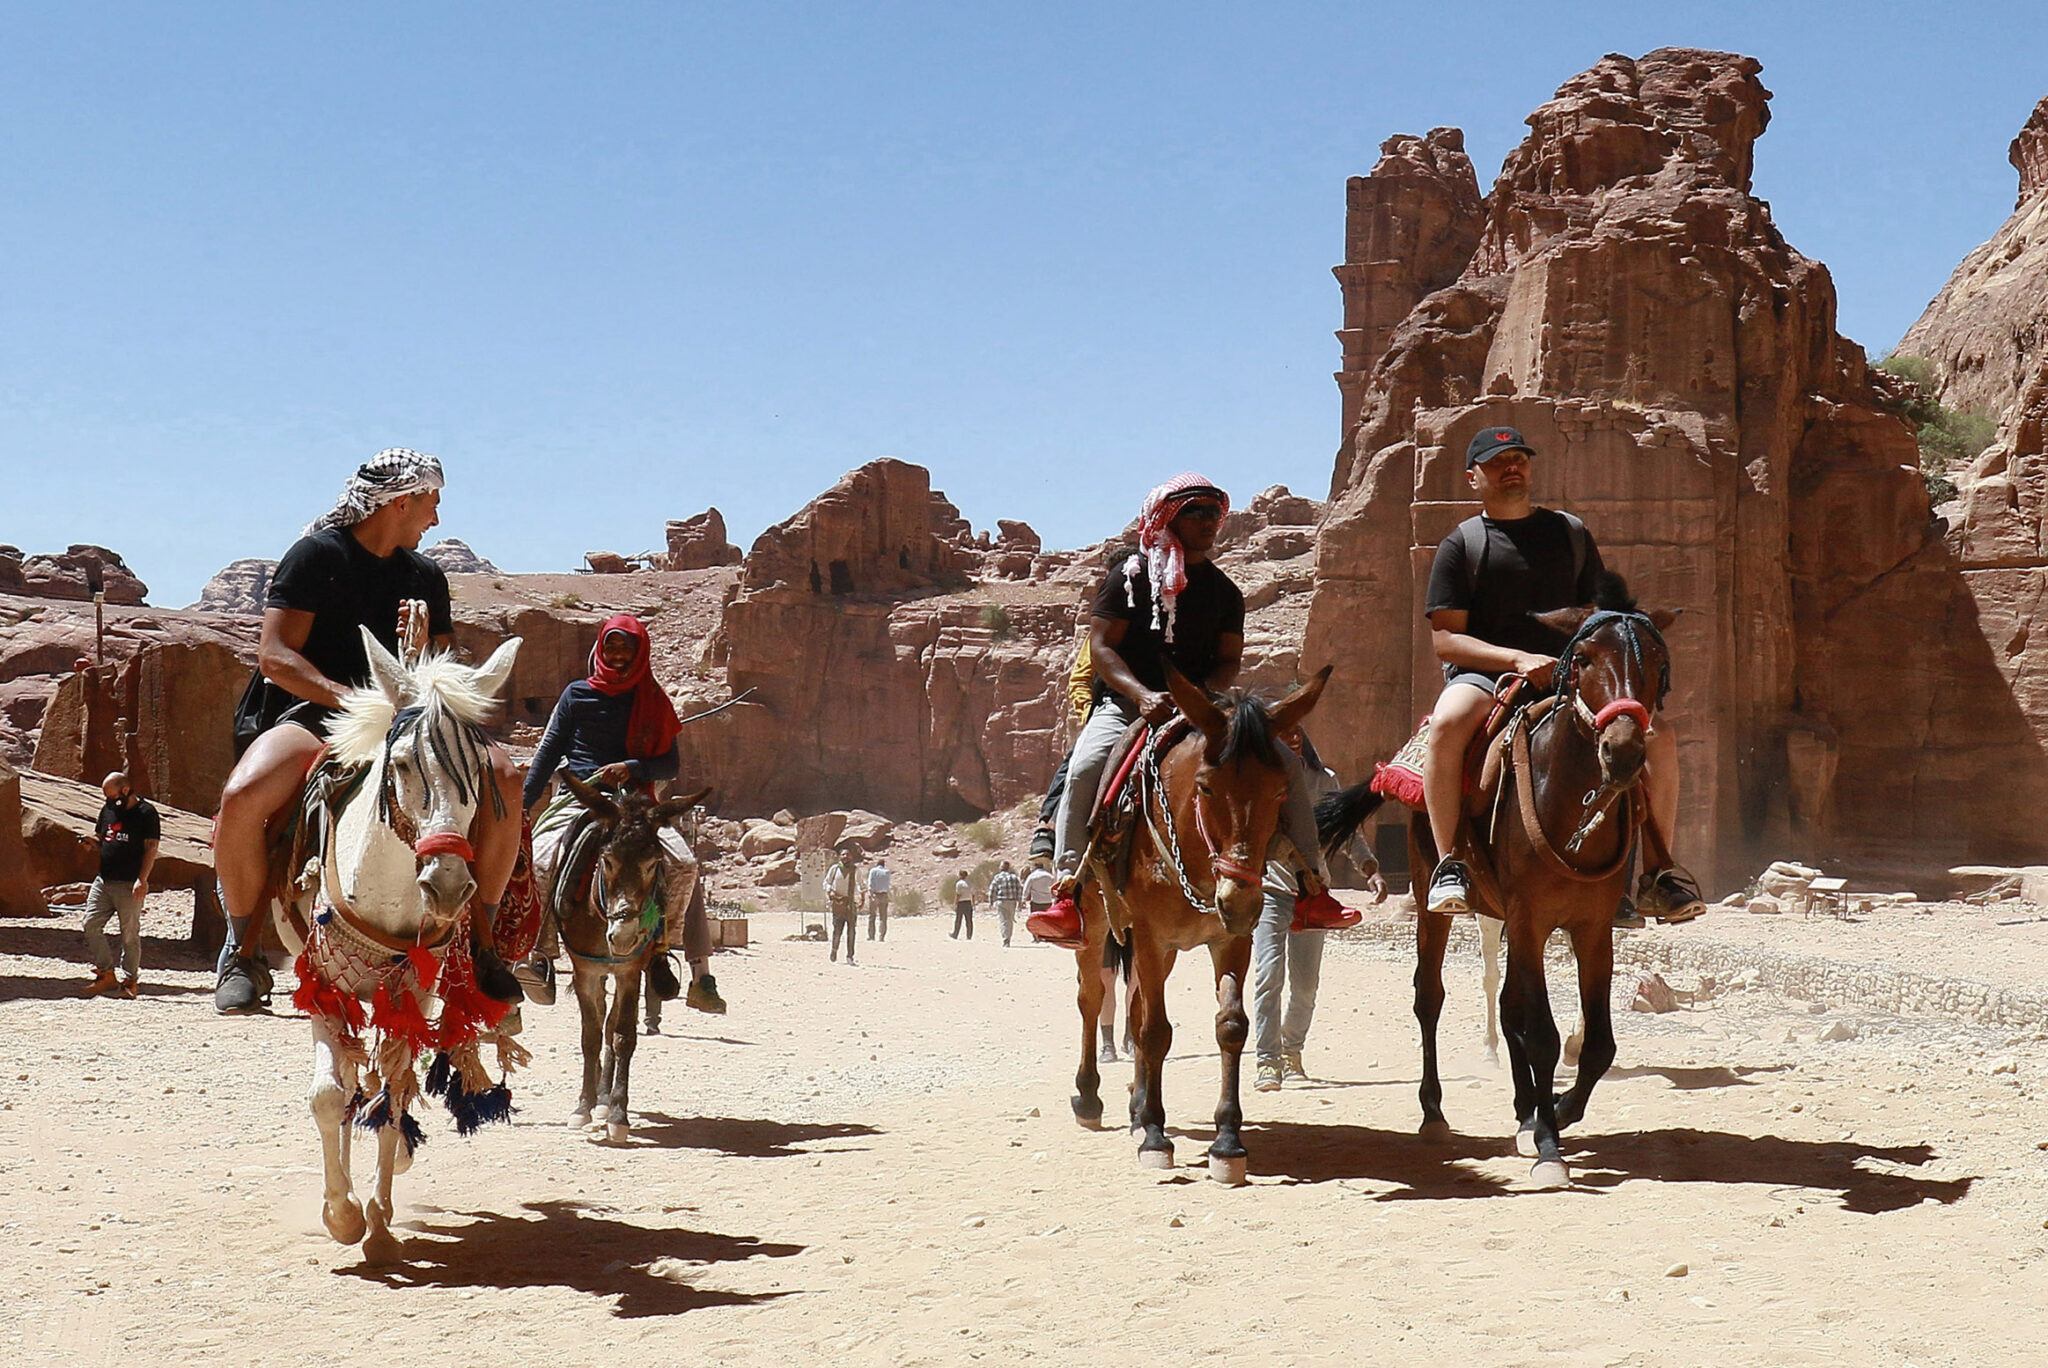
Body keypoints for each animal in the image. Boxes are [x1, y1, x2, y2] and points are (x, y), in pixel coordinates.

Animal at [292, 626, 524, 1269]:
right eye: (400, 764)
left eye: (480, 775)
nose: (446, 884)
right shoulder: (324, 982)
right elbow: (329, 1095)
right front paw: (341, 1215)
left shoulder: (412, 992)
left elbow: (394, 1092)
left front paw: (378, 1222)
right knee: (348, 1081)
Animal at [1064, 667, 1335, 1179]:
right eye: (1207, 786)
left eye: (1280, 789)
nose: (1240, 899)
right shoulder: (1151, 936)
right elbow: (1154, 1033)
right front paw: (1156, 1137)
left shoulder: (1230, 940)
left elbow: (1230, 1026)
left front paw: (1227, 1142)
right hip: (1098, 923)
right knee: (1091, 999)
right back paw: (1089, 1098)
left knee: (1133, 1008)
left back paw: (1136, 1107)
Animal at [1318, 581, 1671, 1187]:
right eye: (1582, 658)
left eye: (1654, 661)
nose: (1623, 752)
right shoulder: (1530, 920)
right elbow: (1544, 1034)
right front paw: (1550, 1146)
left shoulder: (1591, 927)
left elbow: (1597, 1043)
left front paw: (1556, 1111)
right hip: (1434, 900)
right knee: (1430, 996)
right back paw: (1435, 1113)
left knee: (1507, 1006)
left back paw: (1525, 1111)